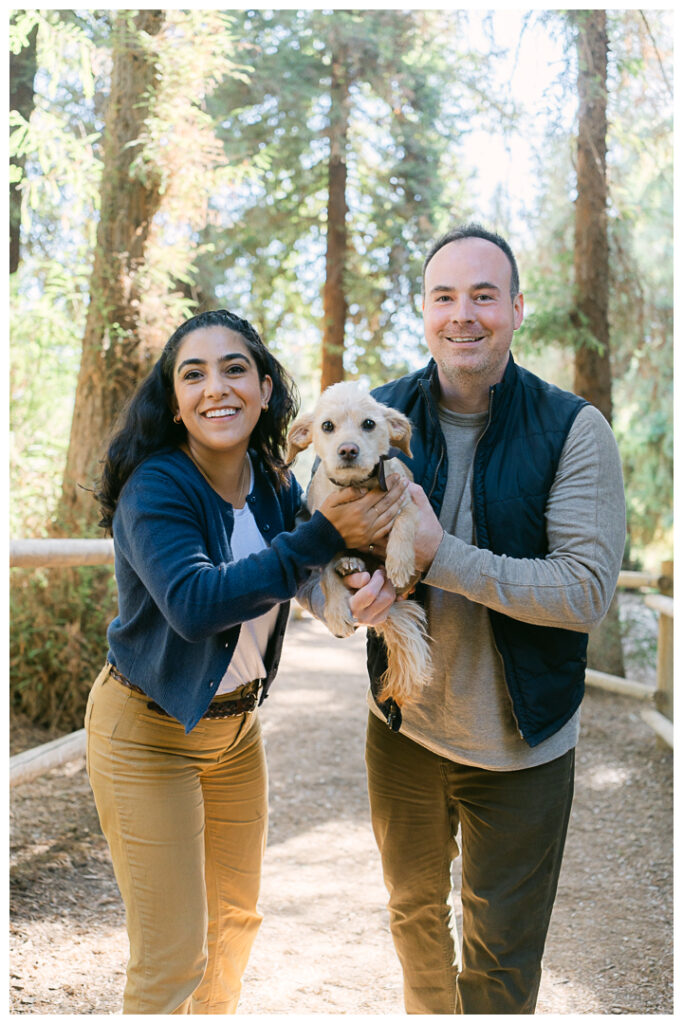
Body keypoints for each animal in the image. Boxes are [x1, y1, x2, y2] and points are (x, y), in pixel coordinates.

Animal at [286, 380, 432, 708]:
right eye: (327, 426)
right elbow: (326, 576)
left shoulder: (409, 499)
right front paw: (337, 611)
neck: (358, 487)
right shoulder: (323, 531)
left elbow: (404, 523)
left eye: (369, 424)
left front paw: (399, 562)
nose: (348, 450)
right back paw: (348, 563)